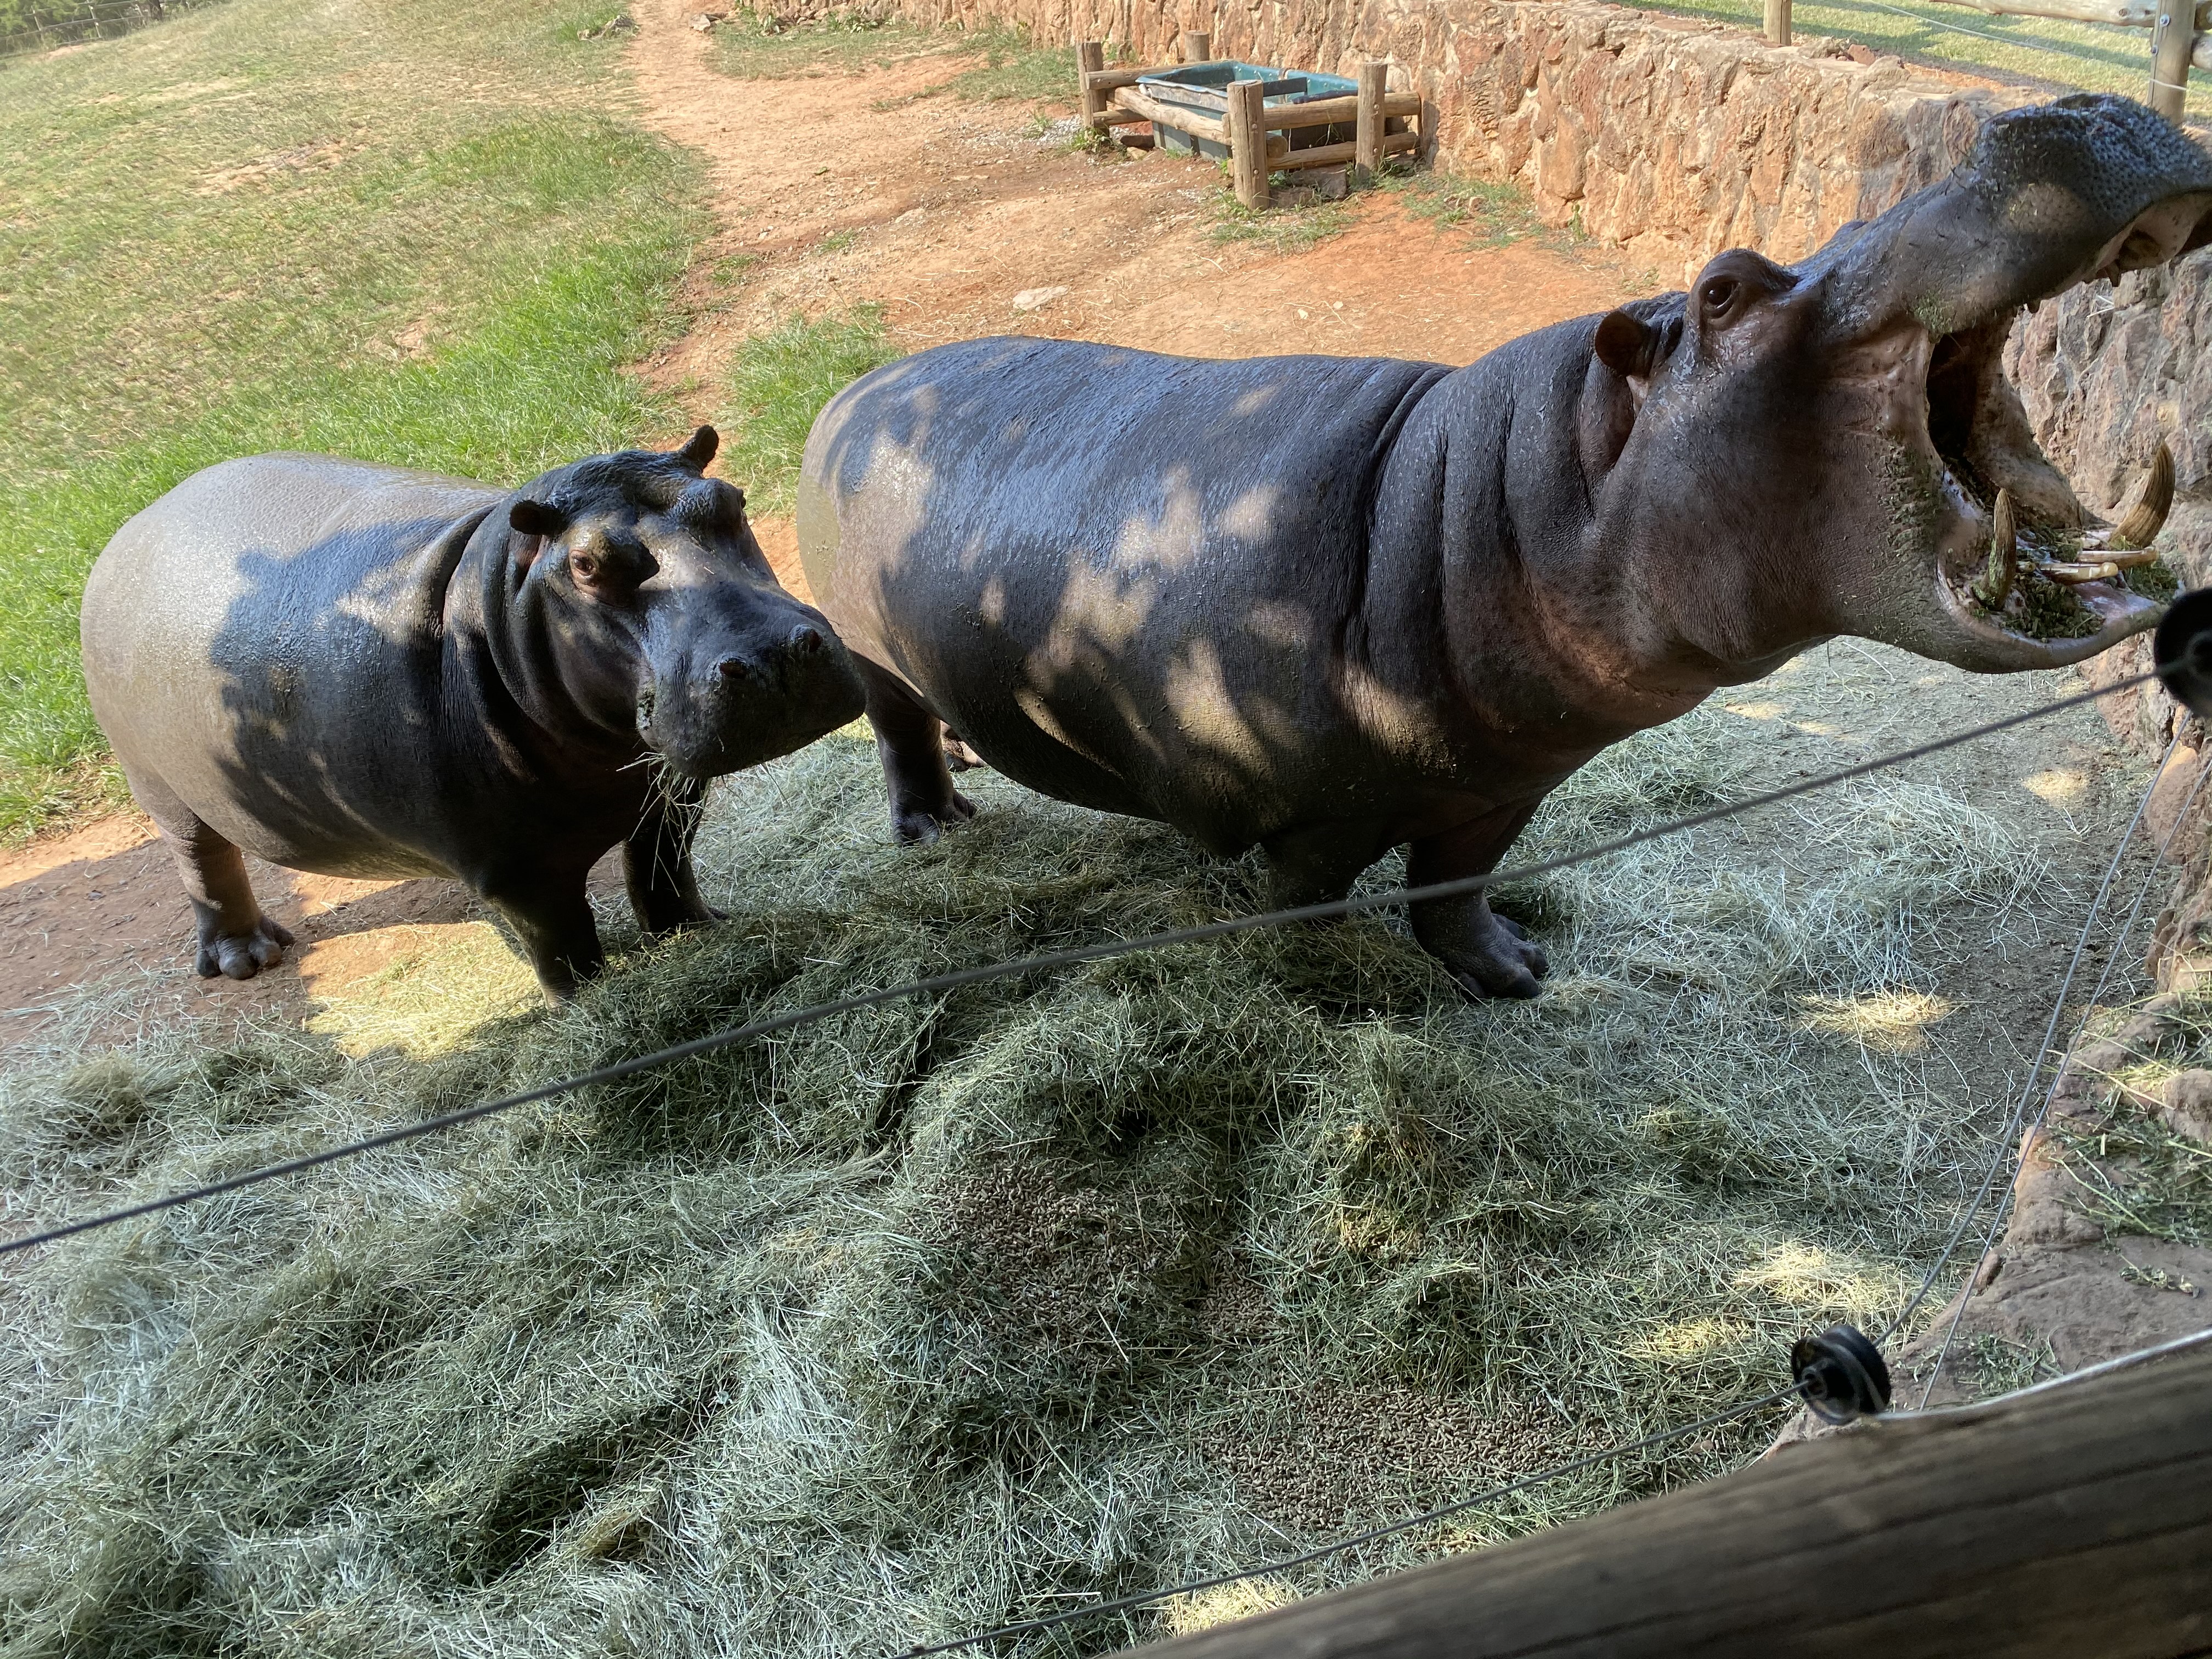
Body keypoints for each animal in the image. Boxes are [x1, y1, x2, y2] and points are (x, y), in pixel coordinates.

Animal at [80, 427, 865, 997]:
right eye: (586, 565)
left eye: (731, 499)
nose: (771, 658)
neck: (503, 601)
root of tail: (132, 527)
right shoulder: (515, 866)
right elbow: (561, 939)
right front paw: (588, 1005)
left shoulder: (670, 790)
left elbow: (662, 867)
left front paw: (702, 931)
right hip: (159, 787)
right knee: (203, 861)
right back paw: (248, 958)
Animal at [797, 95, 2212, 998]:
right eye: (1721, 289)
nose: (2077, 111)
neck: (1488, 507)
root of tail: (851, 391)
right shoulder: (1317, 815)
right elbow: (1311, 899)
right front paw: (1325, 992)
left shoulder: (1509, 778)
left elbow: (1456, 886)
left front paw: (1516, 973)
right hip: (868, 656)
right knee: (896, 730)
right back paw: (934, 827)